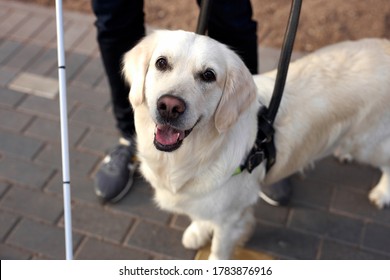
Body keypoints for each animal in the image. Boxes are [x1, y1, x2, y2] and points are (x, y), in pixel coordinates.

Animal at [123, 29, 390, 260]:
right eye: (161, 63)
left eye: (208, 75)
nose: (169, 106)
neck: (191, 155)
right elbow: (199, 214)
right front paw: (198, 231)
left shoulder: (231, 217)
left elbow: (219, 249)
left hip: (370, 144)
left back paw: (382, 193)